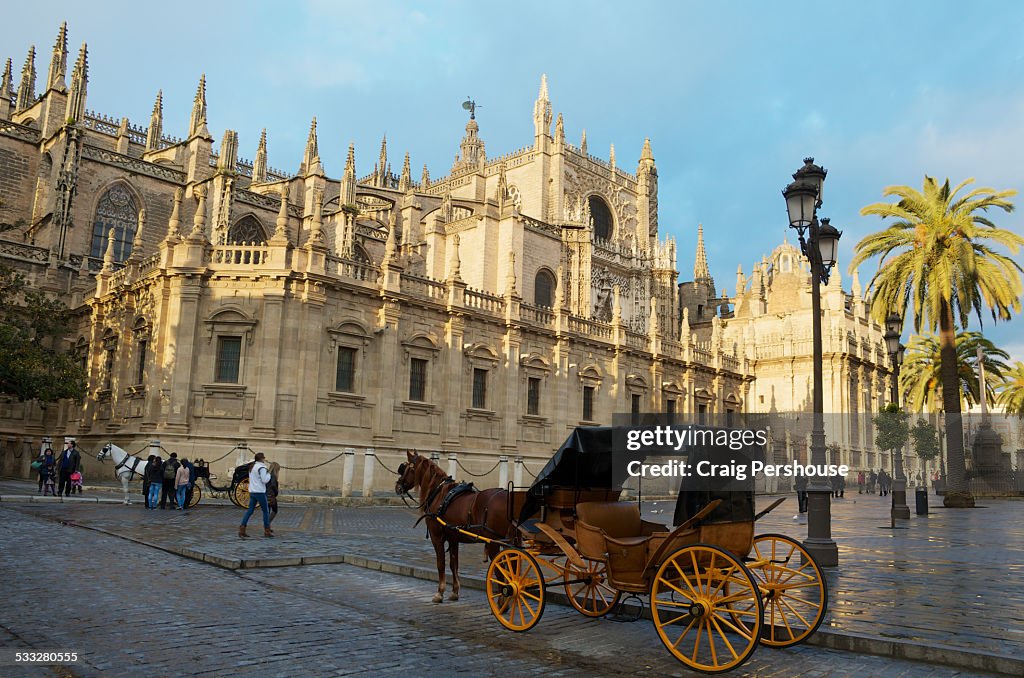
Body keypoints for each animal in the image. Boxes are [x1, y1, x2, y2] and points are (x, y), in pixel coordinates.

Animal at [397, 450, 512, 606]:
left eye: (407, 468)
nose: (398, 486)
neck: (439, 494)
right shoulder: (453, 538)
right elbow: (454, 564)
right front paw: (454, 592)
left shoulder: (436, 537)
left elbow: (441, 564)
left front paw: (440, 593)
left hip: (494, 543)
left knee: (501, 570)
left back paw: (502, 602)